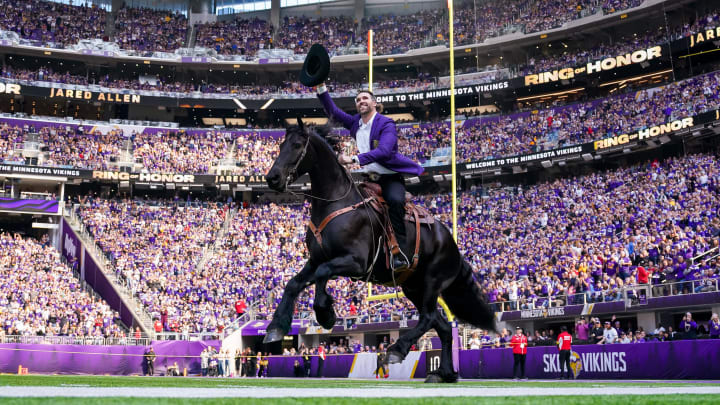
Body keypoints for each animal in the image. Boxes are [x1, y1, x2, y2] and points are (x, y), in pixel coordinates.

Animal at [264, 120, 496, 382]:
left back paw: (397, 350)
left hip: (432, 282)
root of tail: (451, 243)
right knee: (443, 327)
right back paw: (443, 373)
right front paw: (276, 327)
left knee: (428, 318)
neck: (335, 202)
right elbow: (294, 283)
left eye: (296, 145)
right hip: (413, 288)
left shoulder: (355, 262)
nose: (272, 178)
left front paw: (325, 313)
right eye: (280, 145)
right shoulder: (315, 260)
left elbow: (323, 273)